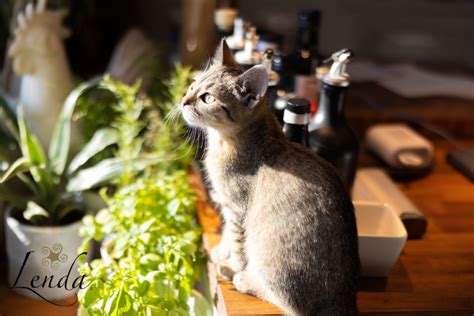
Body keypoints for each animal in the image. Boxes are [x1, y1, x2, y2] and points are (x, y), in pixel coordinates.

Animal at [180, 40, 358, 314]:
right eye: (192, 85)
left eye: (207, 98)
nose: (183, 101)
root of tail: (344, 302)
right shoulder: (227, 206)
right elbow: (227, 235)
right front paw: (221, 250)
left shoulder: (236, 208)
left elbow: (237, 243)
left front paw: (231, 264)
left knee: (284, 300)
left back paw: (245, 279)